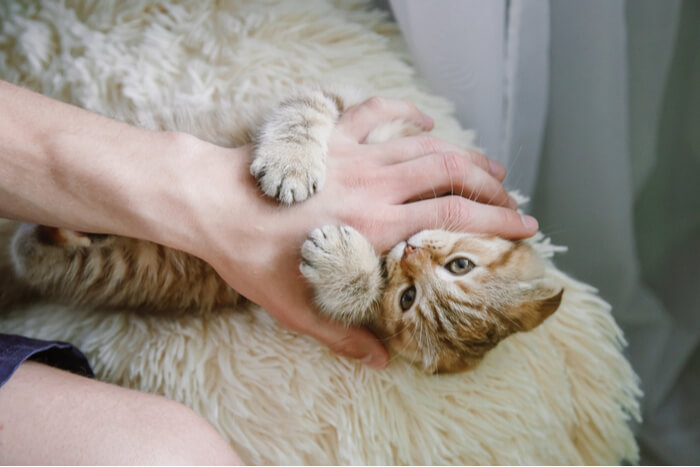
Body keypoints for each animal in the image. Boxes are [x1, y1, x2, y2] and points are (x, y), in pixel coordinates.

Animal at [6, 87, 564, 372]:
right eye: (460, 264)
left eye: (407, 299)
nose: (407, 252)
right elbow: (306, 108)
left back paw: (57, 232)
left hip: (121, 266)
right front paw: (291, 160)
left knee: (37, 252)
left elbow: (354, 301)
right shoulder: (352, 109)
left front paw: (350, 270)